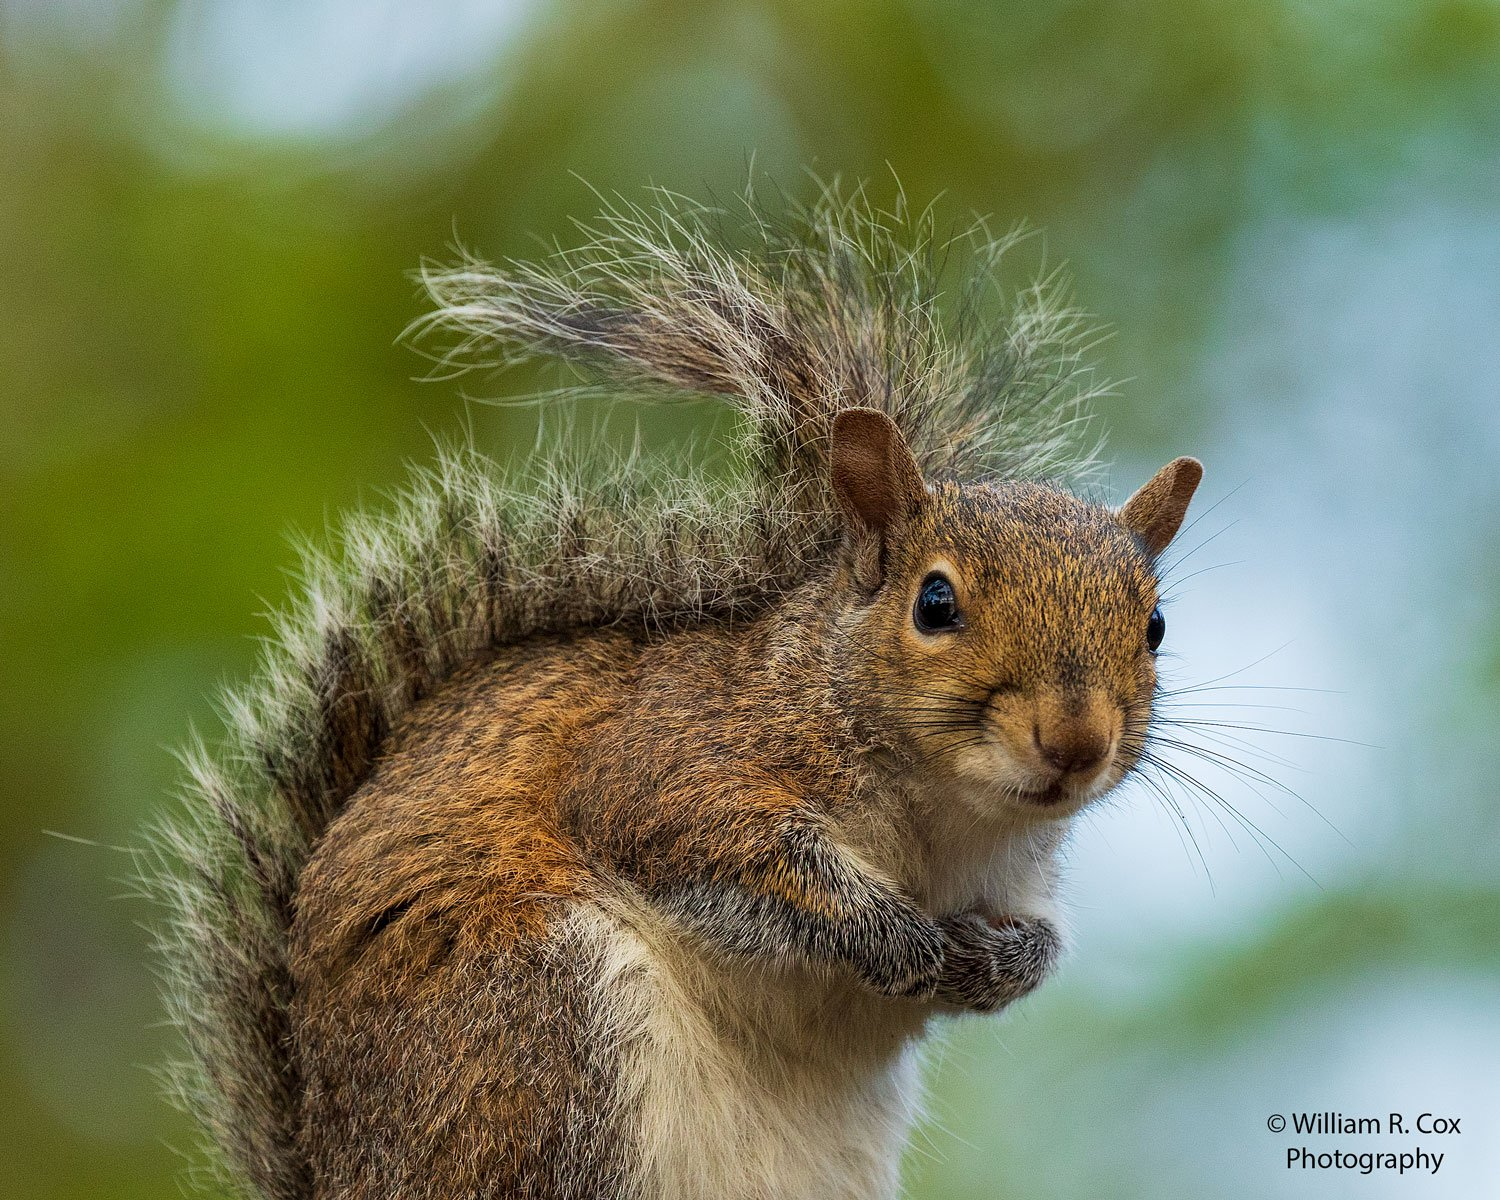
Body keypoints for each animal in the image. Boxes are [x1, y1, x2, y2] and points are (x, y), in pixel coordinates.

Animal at [144, 187, 1202, 1200]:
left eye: (1154, 626)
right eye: (935, 602)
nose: (1076, 743)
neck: (943, 813)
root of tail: (341, 1167)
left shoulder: (1017, 873)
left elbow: (1041, 939)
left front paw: (997, 965)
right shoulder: (670, 760)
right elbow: (719, 846)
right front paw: (896, 939)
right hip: (534, 1021)